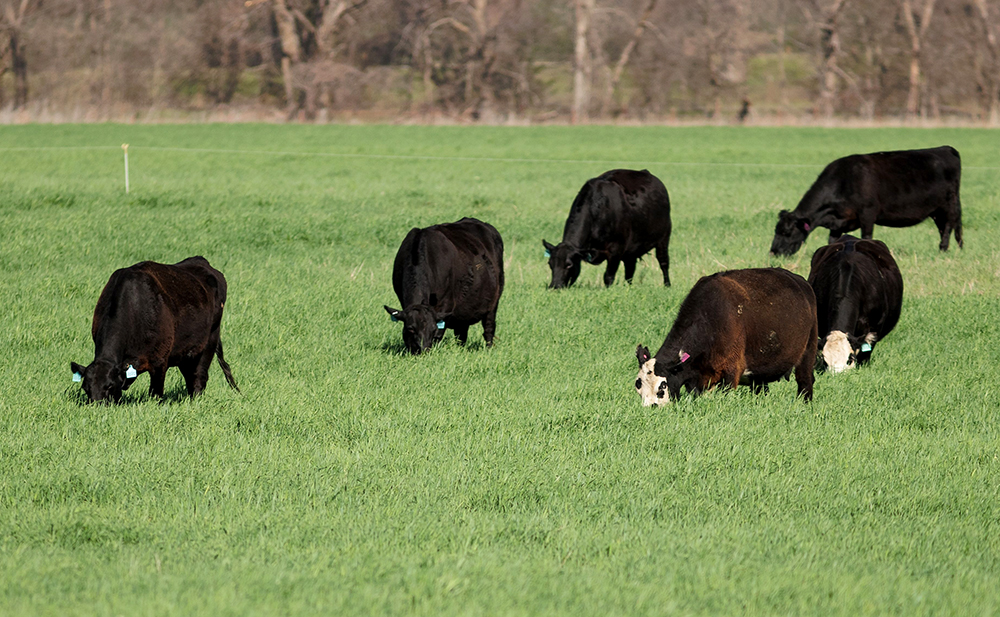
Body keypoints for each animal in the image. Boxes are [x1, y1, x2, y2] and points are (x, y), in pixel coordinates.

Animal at [70, 256, 239, 403]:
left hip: (211, 338)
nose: (95, 405)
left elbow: (155, 393)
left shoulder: (160, 361)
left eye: (110, 387)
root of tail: (202, 261)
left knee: (199, 376)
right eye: (85, 388)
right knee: (190, 375)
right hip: (186, 351)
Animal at [384, 217, 504, 355]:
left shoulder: (446, 303)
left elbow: (439, 334)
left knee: (489, 328)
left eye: (433, 329)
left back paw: (489, 349)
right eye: (411, 329)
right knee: (461, 332)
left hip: (494, 300)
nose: (423, 350)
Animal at [543, 169, 671, 289]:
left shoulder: (616, 250)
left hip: (664, 238)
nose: (554, 286)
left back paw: (667, 285)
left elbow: (608, 276)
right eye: (550, 264)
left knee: (663, 262)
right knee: (630, 270)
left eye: (569, 264)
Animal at [635, 268, 817, 404]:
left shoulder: (731, 372)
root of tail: (801, 282)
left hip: (808, 353)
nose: (651, 408)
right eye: (638, 386)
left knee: (805, 383)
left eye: (662, 387)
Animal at [770, 146, 962, 256]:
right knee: (945, 227)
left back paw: (943, 250)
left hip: (948, 205)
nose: (773, 253)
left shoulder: (868, 214)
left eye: (786, 232)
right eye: (776, 230)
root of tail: (946, 148)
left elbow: (866, 237)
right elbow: (832, 241)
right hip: (936, 210)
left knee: (948, 226)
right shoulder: (838, 223)